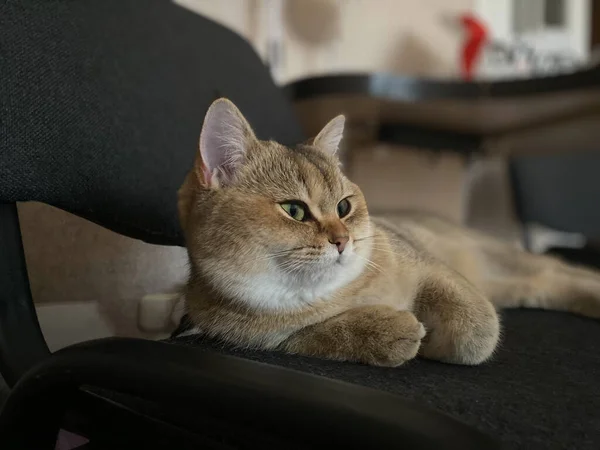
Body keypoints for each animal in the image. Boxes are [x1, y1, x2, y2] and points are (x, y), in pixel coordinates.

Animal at [177, 97, 600, 366]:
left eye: (344, 207)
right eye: (294, 210)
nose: (342, 241)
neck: (332, 292)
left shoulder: (431, 267)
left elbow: (478, 327)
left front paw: (441, 341)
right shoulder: (273, 340)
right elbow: (324, 333)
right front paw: (393, 331)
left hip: (508, 262)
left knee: (564, 270)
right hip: (521, 286)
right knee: (555, 282)